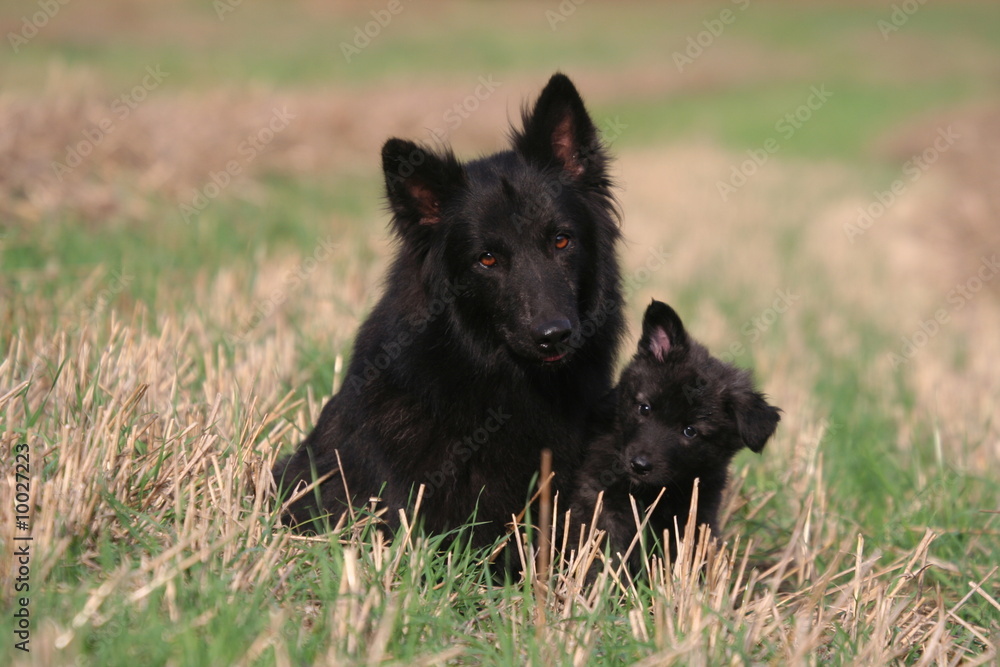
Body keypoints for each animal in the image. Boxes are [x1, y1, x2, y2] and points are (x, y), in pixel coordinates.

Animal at [572, 302, 780, 576]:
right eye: (645, 408)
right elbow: (602, 547)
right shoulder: (599, 496)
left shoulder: (698, 510)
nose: (639, 465)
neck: (652, 492)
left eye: (690, 431)